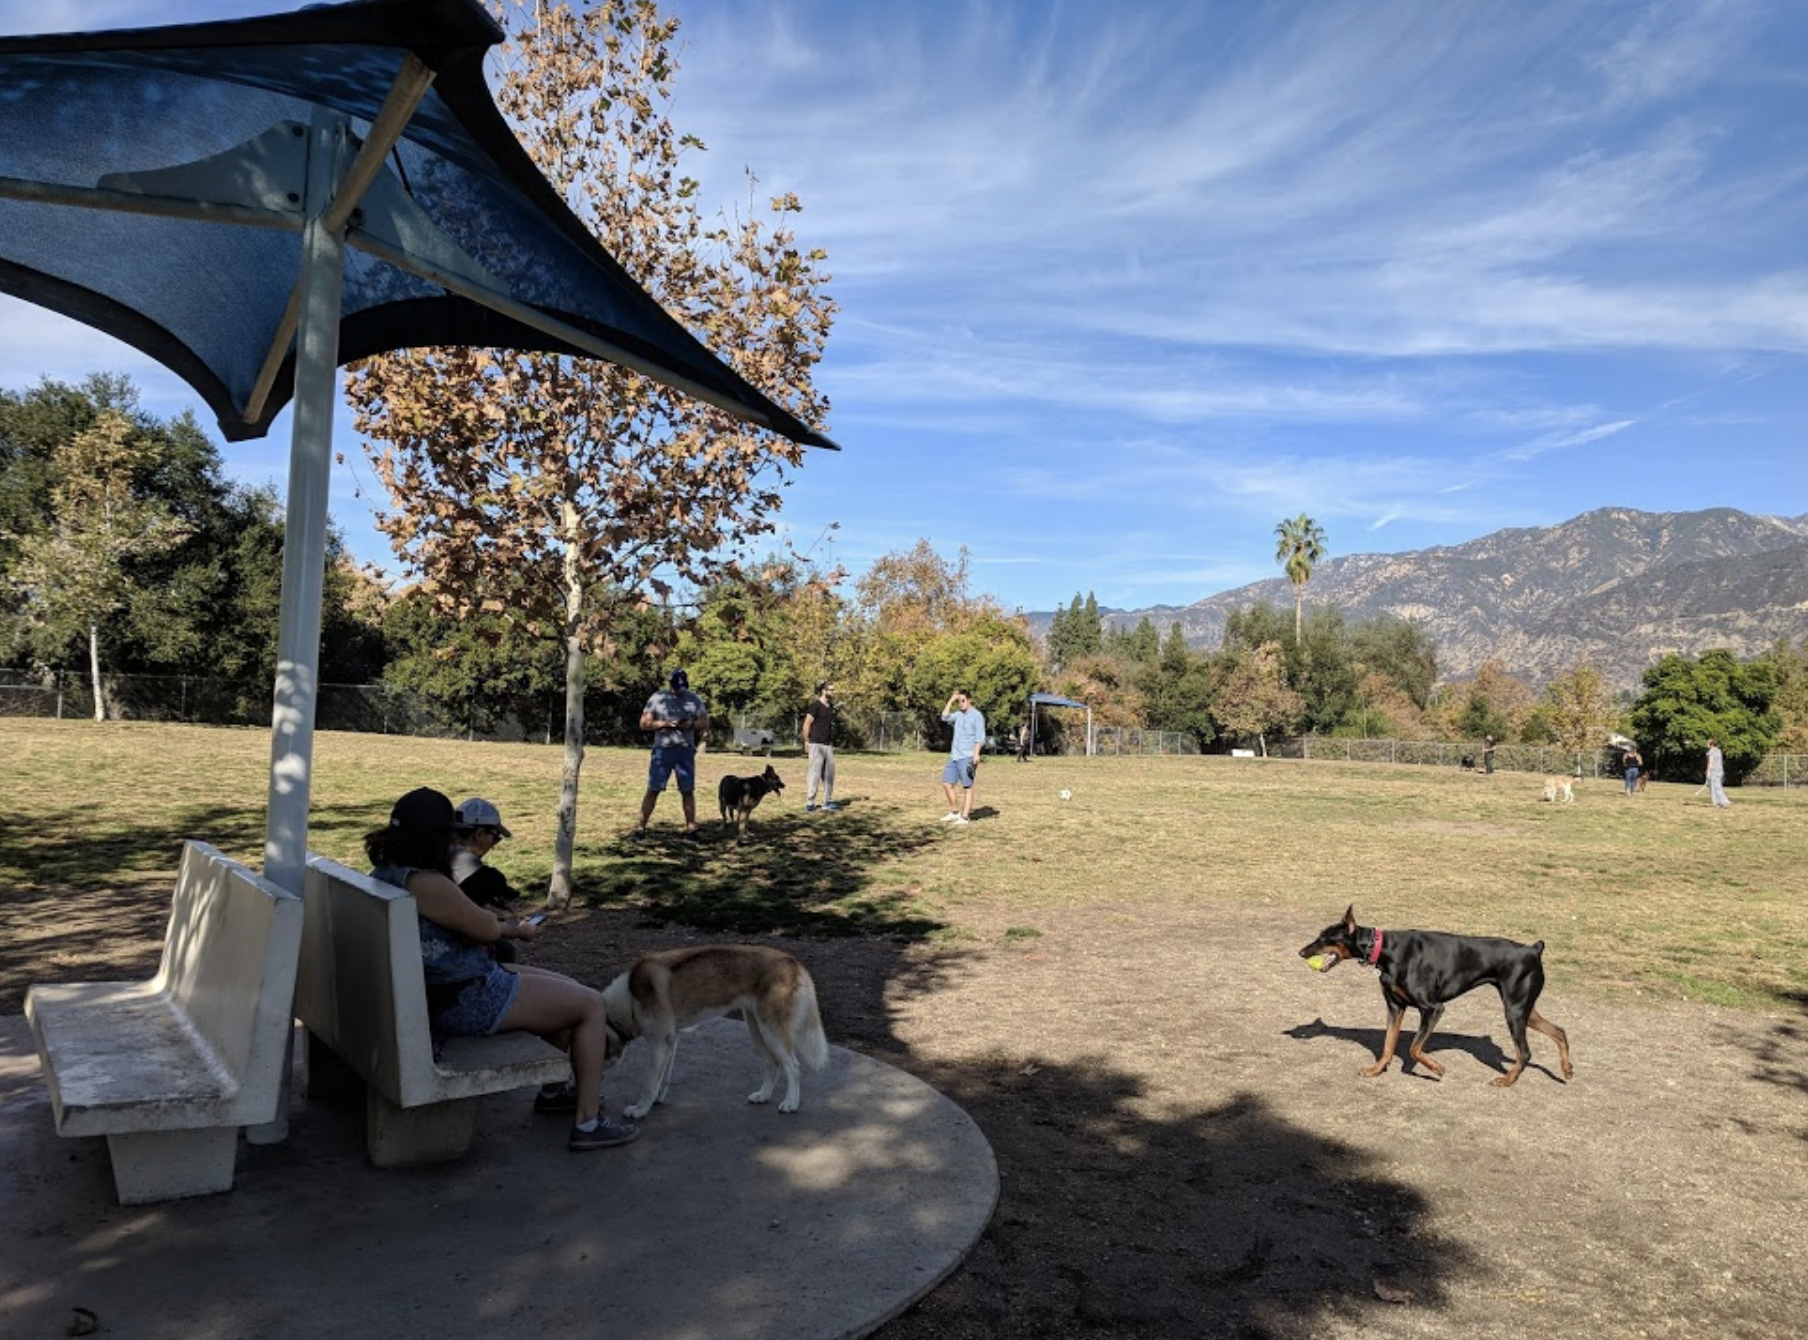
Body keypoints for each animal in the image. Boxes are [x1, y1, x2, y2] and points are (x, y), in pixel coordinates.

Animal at [607, 940, 831, 1121]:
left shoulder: (660, 1043)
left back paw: (791, 1103)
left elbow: (648, 1083)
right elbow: (659, 1079)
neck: (629, 998)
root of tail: (793, 961)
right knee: (772, 1064)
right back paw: (763, 1095)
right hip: (757, 1032)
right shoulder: (668, 1043)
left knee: (793, 1068)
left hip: (772, 1033)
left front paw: (640, 1109)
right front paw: (654, 1101)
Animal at [1294, 900, 1576, 1085]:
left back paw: (1506, 1080)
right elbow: (1388, 1045)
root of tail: (1533, 949)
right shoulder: (1395, 1007)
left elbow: (1414, 1048)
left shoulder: (1432, 1008)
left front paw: (1437, 1068)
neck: (1385, 950)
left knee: (1525, 1052)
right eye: (1319, 935)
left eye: (1326, 939)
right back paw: (1567, 1069)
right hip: (1523, 1008)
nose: (1301, 952)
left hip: (1514, 1011)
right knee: (1559, 1032)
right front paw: (1376, 1070)